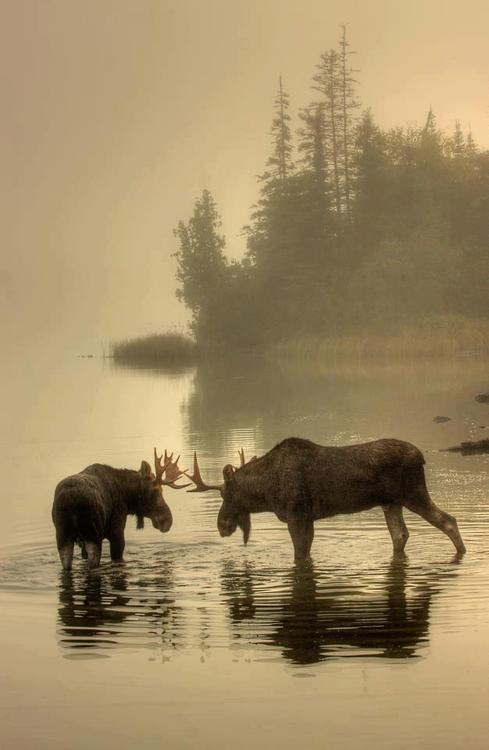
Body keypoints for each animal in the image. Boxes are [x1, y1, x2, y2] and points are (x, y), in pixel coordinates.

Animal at [52, 452, 188, 568]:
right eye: (156, 490)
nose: (168, 520)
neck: (126, 495)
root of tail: (71, 499)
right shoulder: (116, 532)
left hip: (63, 536)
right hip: (92, 535)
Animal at [186, 438, 466, 560]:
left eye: (224, 494)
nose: (221, 525)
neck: (265, 491)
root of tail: (421, 456)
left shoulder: (296, 516)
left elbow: (300, 554)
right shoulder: (307, 518)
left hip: (413, 493)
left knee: (448, 519)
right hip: (391, 503)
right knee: (401, 534)